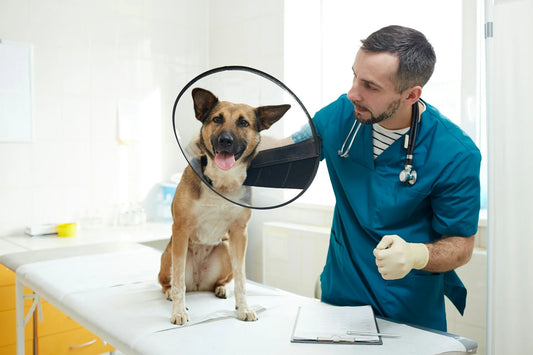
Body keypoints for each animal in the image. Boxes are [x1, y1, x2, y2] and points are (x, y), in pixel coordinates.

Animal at [158, 87, 290, 326]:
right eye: (217, 119)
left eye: (244, 123)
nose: (225, 140)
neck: (221, 181)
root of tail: (198, 284)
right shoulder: (180, 229)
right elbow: (179, 280)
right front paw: (179, 312)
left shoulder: (239, 233)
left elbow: (241, 279)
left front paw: (243, 308)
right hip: (170, 254)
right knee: (170, 281)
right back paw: (170, 292)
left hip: (226, 248)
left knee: (221, 281)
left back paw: (221, 289)